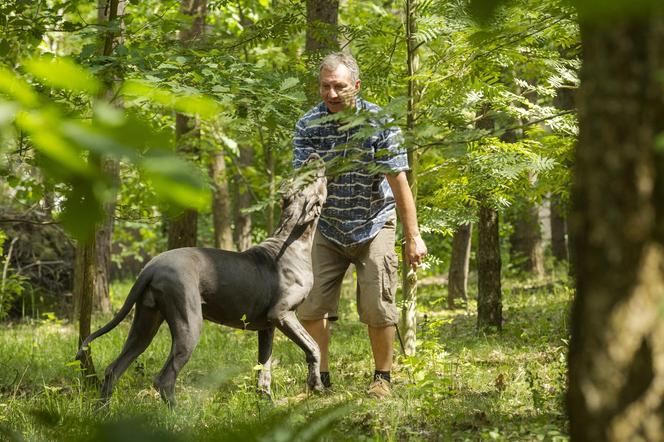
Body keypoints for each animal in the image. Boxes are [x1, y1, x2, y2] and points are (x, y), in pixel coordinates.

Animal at [76, 154, 326, 406]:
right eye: (309, 176)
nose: (313, 156)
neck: (292, 240)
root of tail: (151, 267)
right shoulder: (282, 314)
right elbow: (314, 346)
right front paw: (316, 385)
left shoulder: (267, 328)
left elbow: (263, 368)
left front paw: (266, 402)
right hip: (189, 324)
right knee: (164, 379)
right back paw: (179, 413)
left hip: (145, 324)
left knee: (114, 369)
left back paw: (102, 410)